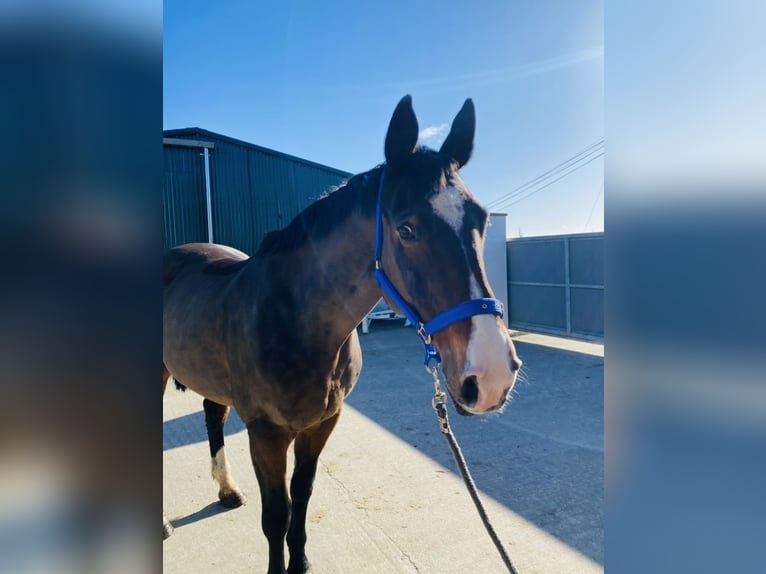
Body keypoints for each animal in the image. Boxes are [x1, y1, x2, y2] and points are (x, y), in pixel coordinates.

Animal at [162, 95, 522, 574]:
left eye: (482, 220)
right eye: (406, 229)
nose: (492, 374)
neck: (295, 320)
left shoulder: (322, 423)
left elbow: (302, 496)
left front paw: (300, 563)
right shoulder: (266, 434)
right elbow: (275, 517)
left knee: (212, 417)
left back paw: (227, 490)